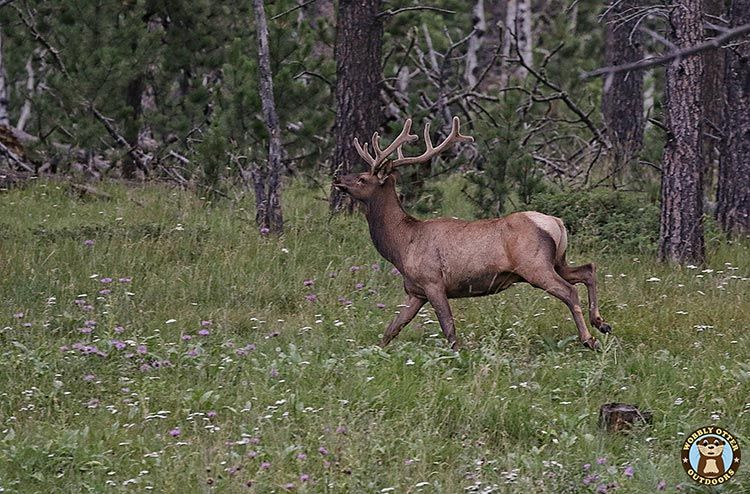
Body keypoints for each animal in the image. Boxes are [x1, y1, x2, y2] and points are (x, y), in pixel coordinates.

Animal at [334, 117, 612, 350]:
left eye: (362, 178)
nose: (337, 177)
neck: (402, 245)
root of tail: (557, 222)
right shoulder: (415, 291)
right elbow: (392, 329)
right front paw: (374, 353)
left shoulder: (433, 281)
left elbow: (449, 327)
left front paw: (458, 356)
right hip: (557, 261)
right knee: (587, 269)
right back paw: (601, 323)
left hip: (535, 265)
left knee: (569, 290)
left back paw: (589, 339)